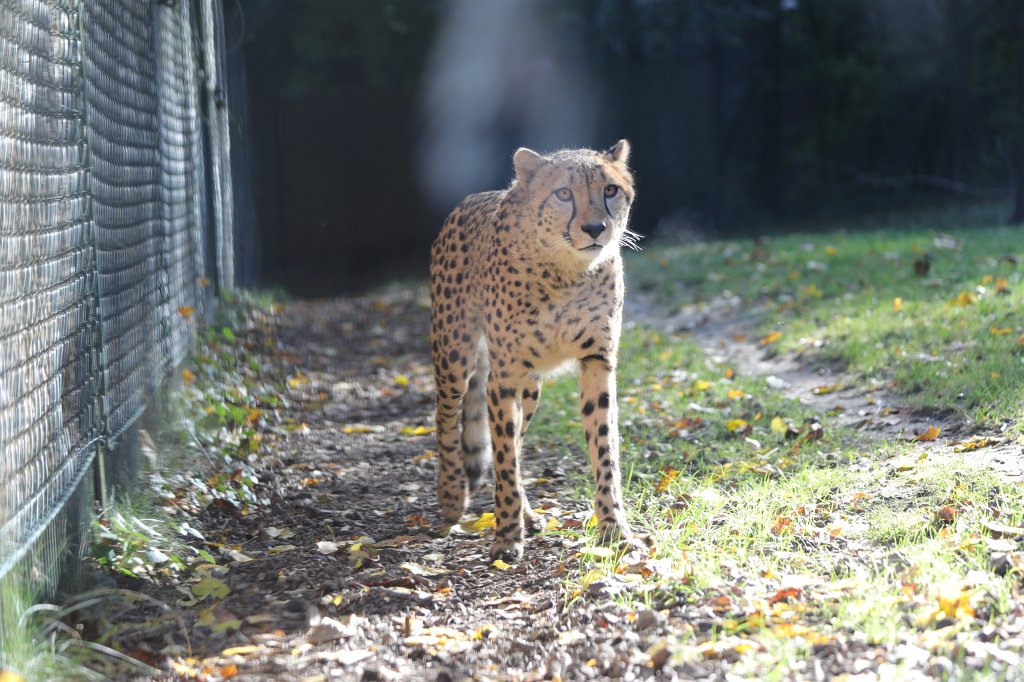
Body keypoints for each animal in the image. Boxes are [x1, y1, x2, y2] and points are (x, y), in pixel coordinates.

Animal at [429, 140, 641, 562]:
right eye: (564, 194)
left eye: (610, 190)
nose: (595, 228)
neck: (566, 271)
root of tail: (471, 198)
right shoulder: (503, 375)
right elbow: (504, 459)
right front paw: (507, 537)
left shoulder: (597, 362)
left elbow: (604, 449)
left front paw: (614, 528)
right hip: (455, 354)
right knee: (447, 416)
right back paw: (452, 494)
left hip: (531, 387)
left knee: (515, 438)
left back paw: (526, 513)